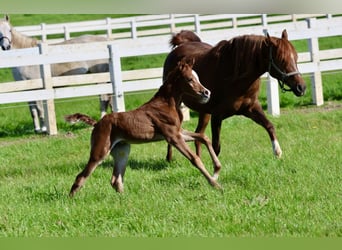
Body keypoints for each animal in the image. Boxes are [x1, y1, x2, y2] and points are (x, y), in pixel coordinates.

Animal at [65, 59, 222, 196]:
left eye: (198, 78)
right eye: (190, 79)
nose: (207, 93)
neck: (167, 104)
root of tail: (97, 123)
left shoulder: (178, 132)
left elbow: (203, 137)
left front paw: (217, 170)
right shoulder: (173, 137)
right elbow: (195, 158)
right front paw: (216, 185)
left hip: (122, 150)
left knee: (116, 179)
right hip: (100, 151)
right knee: (81, 176)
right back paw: (71, 200)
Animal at [164, 29, 306, 161]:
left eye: (296, 57)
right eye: (282, 60)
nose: (302, 87)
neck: (235, 77)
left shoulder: (251, 108)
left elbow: (269, 126)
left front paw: (277, 151)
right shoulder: (217, 116)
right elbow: (216, 146)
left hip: (204, 112)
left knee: (198, 134)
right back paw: (169, 158)